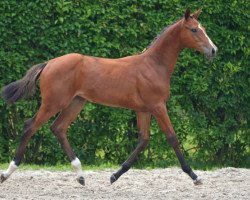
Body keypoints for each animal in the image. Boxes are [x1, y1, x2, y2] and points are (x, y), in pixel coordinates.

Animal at [0, 8, 217, 185]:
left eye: (203, 28)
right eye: (194, 30)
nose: (213, 50)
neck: (153, 65)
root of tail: (48, 64)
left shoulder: (143, 110)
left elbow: (143, 140)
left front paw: (114, 175)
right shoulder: (157, 106)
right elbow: (172, 137)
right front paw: (194, 176)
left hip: (76, 102)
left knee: (58, 128)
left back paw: (80, 175)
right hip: (53, 103)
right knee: (30, 126)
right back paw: (7, 172)